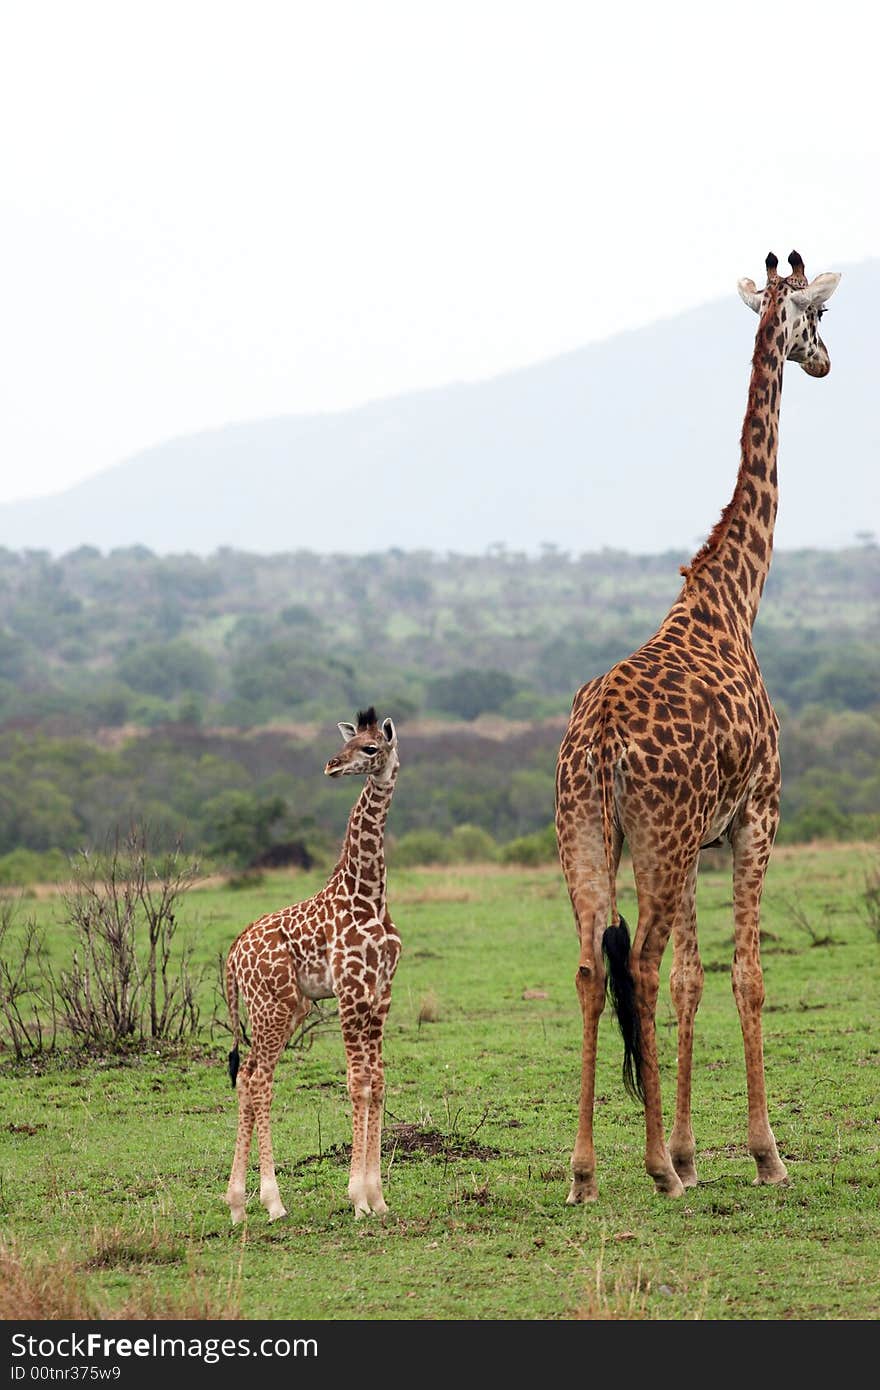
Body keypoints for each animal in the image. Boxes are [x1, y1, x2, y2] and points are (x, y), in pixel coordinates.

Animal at [221, 711, 400, 1223]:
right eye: (350, 743)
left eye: (370, 748)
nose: (331, 765)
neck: (368, 896)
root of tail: (233, 954)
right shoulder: (351, 992)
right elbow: (357, 1084)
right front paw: (359, 1198)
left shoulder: (381, 993)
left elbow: (378, 1081)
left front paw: (379, 1199)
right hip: (271, 1006)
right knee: (258, 1079)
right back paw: (271, 1202)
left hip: (290, 1007)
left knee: (249, 1076)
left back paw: (238, 1205)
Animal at [556, 252, 839, 1206]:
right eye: (820, 314)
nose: (825, 362)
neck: (735, 599)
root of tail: (601, 743)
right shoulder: (756, 817)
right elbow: (746, 977)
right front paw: (762, 1153)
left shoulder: (704, 839)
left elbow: (692, 982)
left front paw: (686, 1148)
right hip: (659, 837)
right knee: (633, 966)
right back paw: (648, 1170)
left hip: (592, 835)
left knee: (590, 968)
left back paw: (584, 1171)